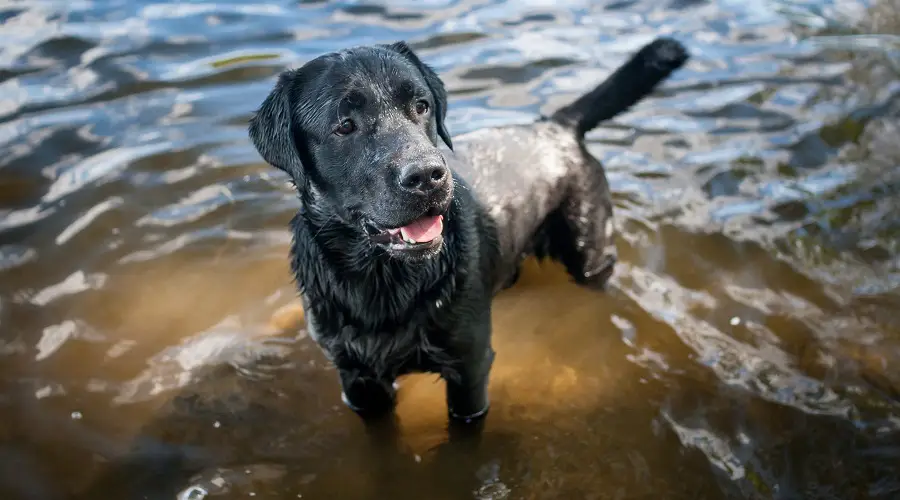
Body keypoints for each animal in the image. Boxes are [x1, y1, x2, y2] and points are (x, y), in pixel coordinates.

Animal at [248, 38, 688, 422]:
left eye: (421, 105)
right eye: (344, 125)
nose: (427, 176)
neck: (383, 282)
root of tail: (556, 126)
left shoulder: (470, 367)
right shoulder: (357, 381)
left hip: (590, 251)